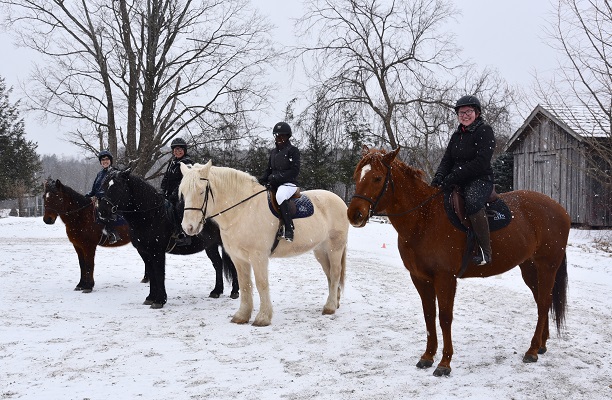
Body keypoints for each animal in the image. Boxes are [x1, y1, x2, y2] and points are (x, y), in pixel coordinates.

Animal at [97, 169, 238, 310]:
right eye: (104, 185)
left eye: (117, 187)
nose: (101, 211)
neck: (151, 216)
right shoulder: (145, 252)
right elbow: (152, 274)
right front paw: (150, 298)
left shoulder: (157, 252)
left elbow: (159, 274)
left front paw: (160, 300)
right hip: (210, 246)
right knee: (218, 264)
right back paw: (216, 291)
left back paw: (234, 292)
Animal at [178, 161, 350, 326]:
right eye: (183, 193)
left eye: (201, 191)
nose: (188, 227)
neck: (242, 210)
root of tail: (339, 200)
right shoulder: (238, 258)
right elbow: (245, 285)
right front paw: (241, 316)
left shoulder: (258, 257)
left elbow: (261, 284)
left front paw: (263, 318)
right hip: (320, 250)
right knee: (329, 274)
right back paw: (335, 302)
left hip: (335, 248)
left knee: (335, 273)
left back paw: (329, 307)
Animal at [346, 145, 572, 376]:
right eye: (357, 176)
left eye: (377, 178)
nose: (354, 214)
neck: (424, 218)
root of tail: (559, 208)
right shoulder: (420, 278)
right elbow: (429, 315)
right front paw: (427, 356)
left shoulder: (445, 278)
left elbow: (445, 317)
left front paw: (444, 363)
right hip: (529, 268)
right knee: (542, 302)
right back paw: (541, 345)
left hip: (547, 267)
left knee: (543, 303)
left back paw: (532, 350)